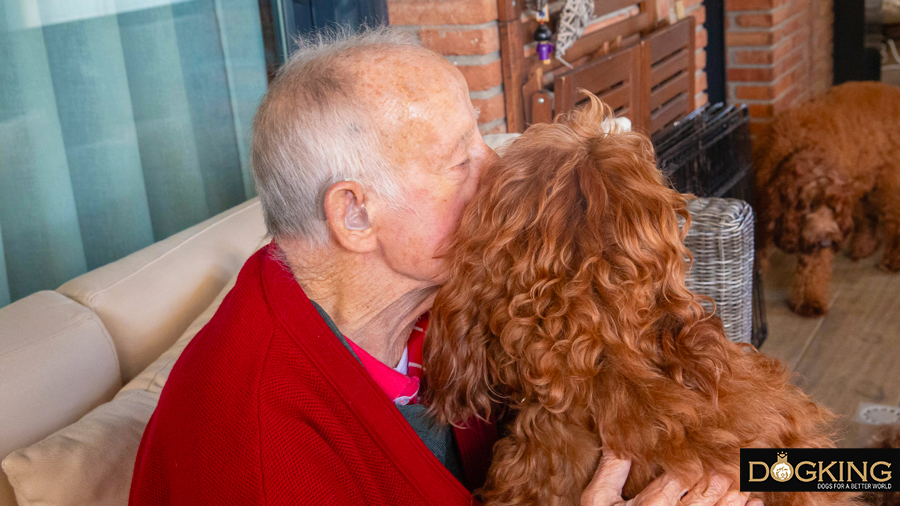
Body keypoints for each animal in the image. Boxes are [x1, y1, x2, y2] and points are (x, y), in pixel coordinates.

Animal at [756, 81, 900, 316]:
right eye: (808, 206)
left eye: (833, 209)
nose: (826, 241)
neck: (800, 147)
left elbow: (813, 266)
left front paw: (809, 301)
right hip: (860, 179)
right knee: (867, 217)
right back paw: (864, 246)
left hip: (889, 182)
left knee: (894, 220)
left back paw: (893, 259)